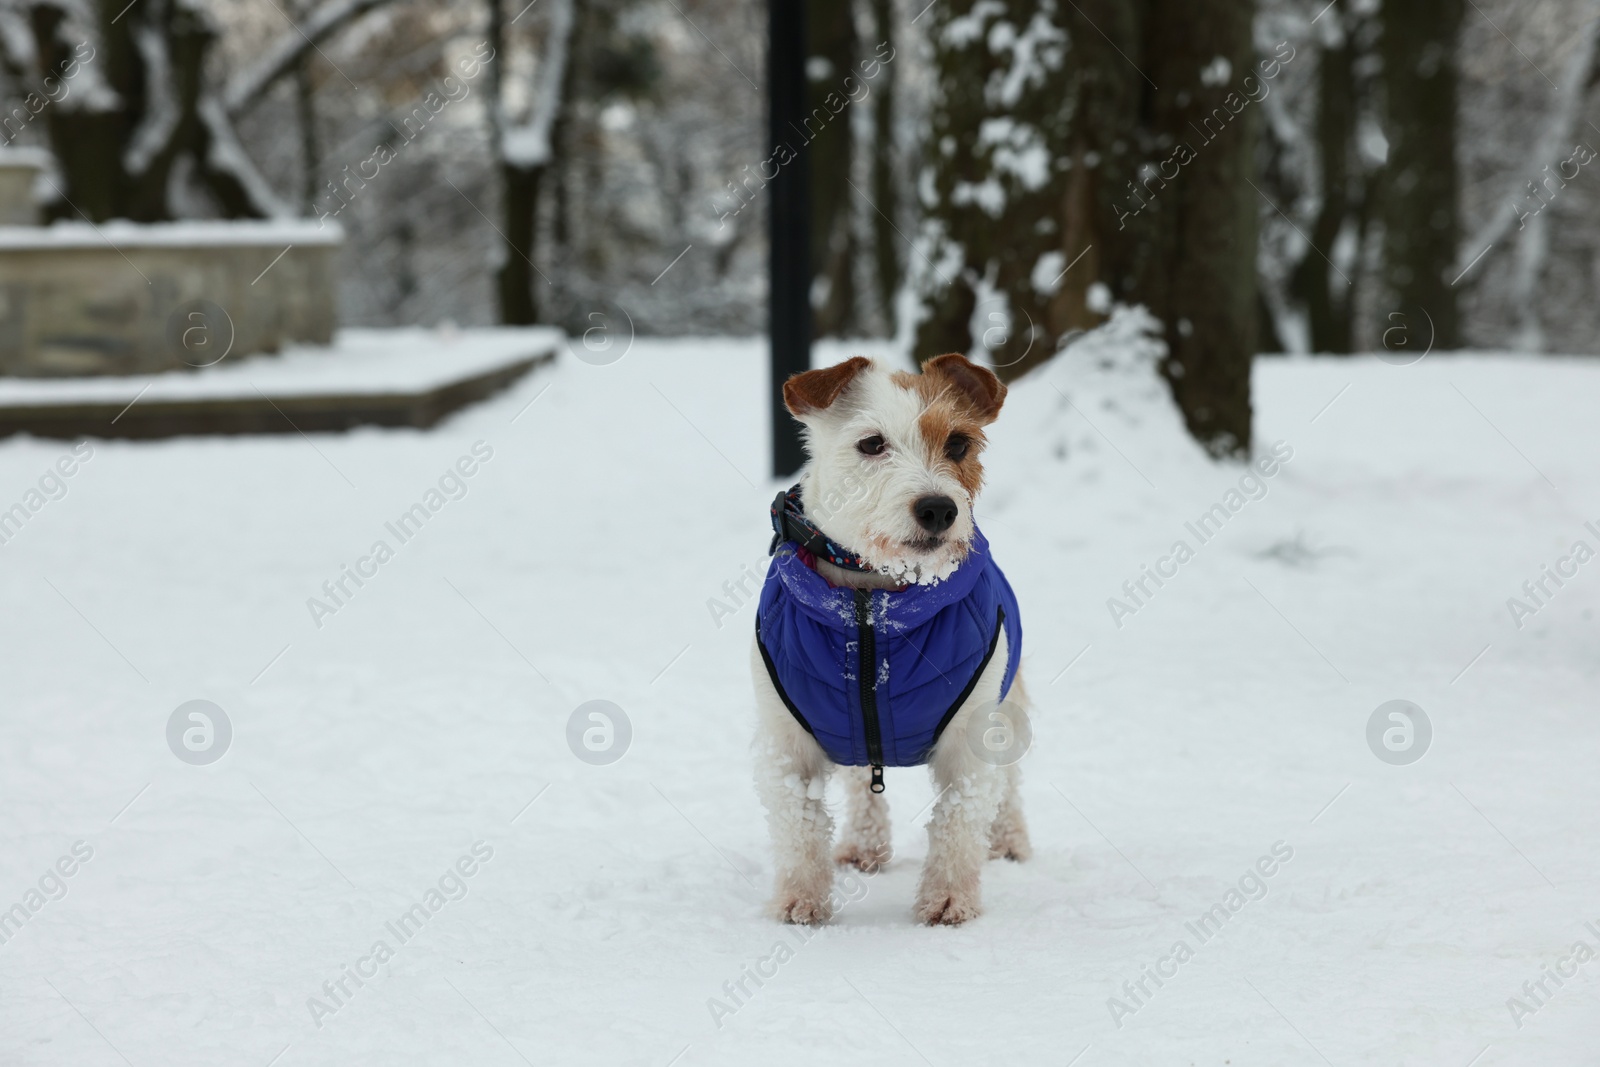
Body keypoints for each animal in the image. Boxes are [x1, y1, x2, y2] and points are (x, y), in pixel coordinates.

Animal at [745, 351, 1024, 927]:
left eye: (958, 444)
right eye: (872, 444)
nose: (939, 508)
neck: (871, 607)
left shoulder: (972, 739)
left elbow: (959, 820)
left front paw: (949, 898)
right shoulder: (786, 744)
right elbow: (800, 823)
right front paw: (801, 899)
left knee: (1010, 784)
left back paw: (1009, 840)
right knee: (862, 782)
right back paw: (865, 844)